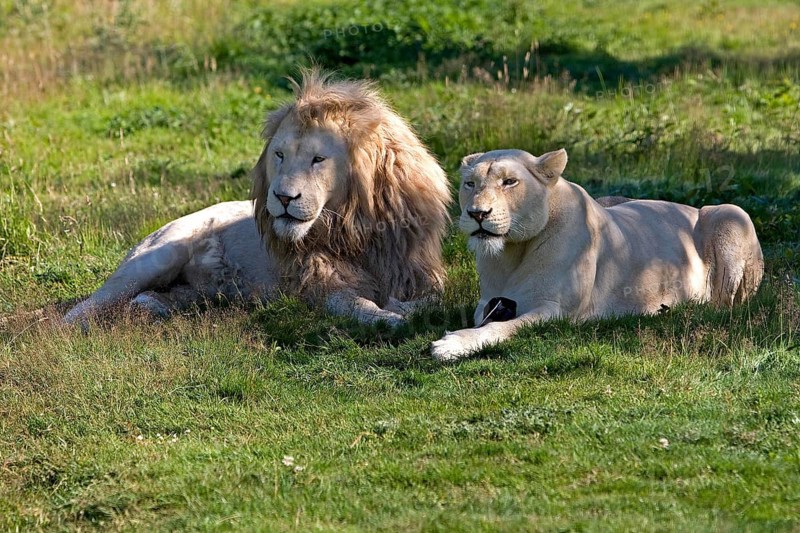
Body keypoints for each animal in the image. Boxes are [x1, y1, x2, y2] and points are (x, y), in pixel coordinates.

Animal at [64, 69, 451, 327]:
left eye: (318, 159)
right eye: (279, 155)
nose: (282, 197)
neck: (354, 227)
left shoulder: (416, 268)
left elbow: (433, 300)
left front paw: (408, 308)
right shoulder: (319, 286)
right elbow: (361, 308)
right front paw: (394, 317)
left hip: (196, 292)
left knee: (154, 298)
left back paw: (151, 309)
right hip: (156, 256)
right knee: (87, 304)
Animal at [430, 148, 763, 361]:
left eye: (510, 182)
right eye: (470, 183)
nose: (477, 214)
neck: (513, 250)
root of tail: (691, 208)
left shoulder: (557, 311)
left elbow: (502, 328)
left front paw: (450, 345)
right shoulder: (488, 301)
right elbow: (486, 318)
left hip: (731, 213)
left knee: (726, 304)